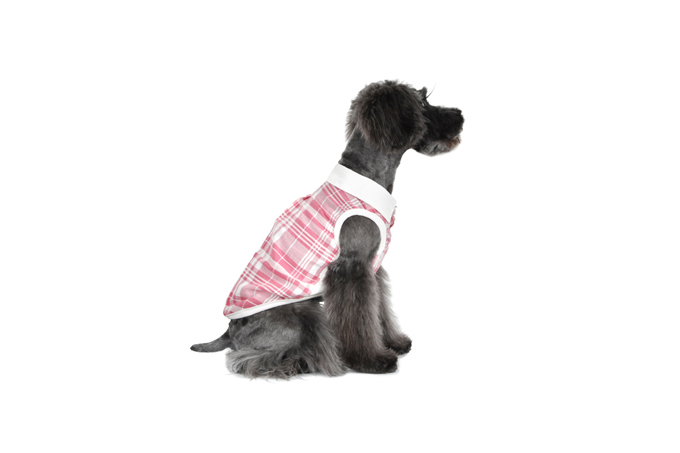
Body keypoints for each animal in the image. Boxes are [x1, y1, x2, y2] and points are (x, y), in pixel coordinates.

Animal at [191, 80, 464, 378]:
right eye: (423, 103)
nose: (460, 115)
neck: (369, 177)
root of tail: (228, 331)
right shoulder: (352, 268)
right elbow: (360, 319)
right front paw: (371, 360)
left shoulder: (372, 270)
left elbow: (378, 310)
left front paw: (392, 342)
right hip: (299, 317)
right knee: (248, 359)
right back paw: (297, 363)